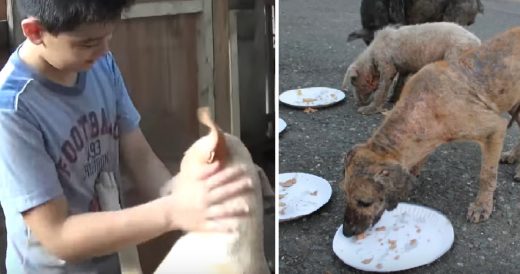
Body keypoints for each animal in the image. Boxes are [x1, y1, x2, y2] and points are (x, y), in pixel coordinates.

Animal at [342, 21, 480, 114]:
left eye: (353, 83)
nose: (358, 102)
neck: (372, 56)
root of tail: (477, 42)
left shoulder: (386, 66)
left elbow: (381, 90)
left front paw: (370, 108)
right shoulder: (403, 69)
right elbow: (399, 85)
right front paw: (394, 99)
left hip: (455, 58)